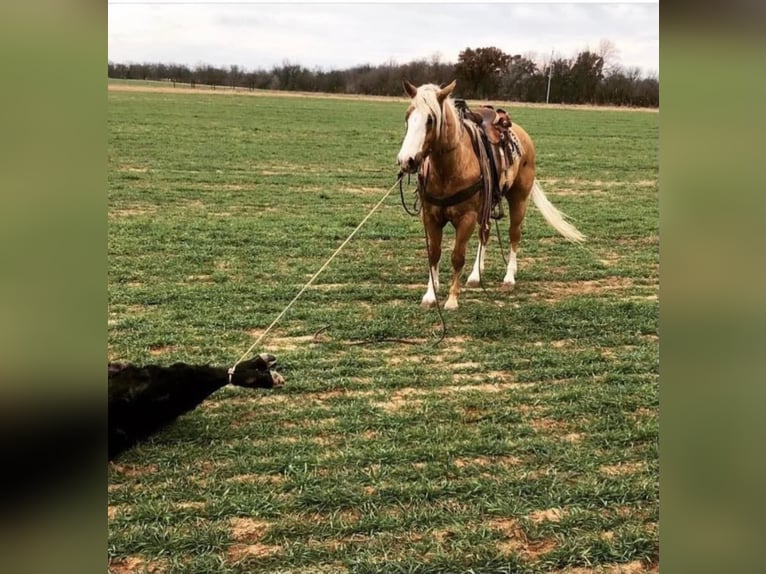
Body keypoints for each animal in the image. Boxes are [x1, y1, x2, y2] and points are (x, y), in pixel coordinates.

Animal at [396, 81, 588, 310]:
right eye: (407, 117)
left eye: (431, 120)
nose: (406, 160)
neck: (450, 168)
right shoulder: (431, 216)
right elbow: (434, 254)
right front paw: (430, 295)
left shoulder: (467, 218)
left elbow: (457, 256)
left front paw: (452, 300)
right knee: (485, 233)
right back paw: (476, 275)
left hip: (518, 200)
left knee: (514, 234)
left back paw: (509, 278)